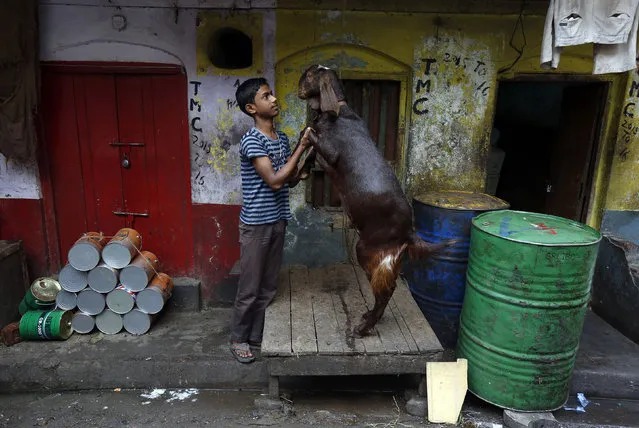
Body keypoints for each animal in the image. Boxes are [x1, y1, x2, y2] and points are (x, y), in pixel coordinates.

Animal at [298, 64, 452, 338]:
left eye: (309, 74)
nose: (298, 85)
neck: (337, 112)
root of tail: (409, 232)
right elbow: (311, 148)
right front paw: (303, 169)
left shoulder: (332, 151)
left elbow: (309, 133)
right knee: (386, 288)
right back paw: (369, 317)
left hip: (366, 249)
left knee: (384, 291)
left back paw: (364, 327)